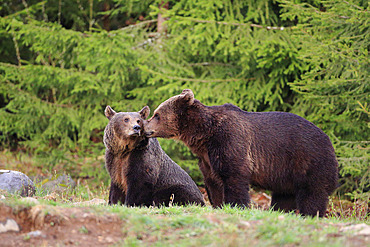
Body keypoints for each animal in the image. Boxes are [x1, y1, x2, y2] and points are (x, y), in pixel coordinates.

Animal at [144, 89, 338, 216]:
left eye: (157, 115)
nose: (143, 127)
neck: (204, 134)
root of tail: (329, 141)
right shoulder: (207, 158)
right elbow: (214, 183)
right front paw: (218, 205)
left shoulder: (230, 141)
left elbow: (234, 176)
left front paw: (236, 206)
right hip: (286, 175)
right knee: (284, 196)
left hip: (309, 161)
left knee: (312, 194)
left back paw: (311, 214)